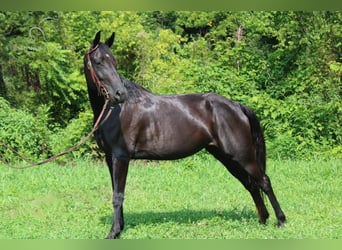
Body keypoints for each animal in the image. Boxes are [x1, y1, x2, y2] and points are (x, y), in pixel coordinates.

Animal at [84, 31, 284, 238]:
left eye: (115, 62)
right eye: (98, 62)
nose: (120, 94)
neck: (116, 111)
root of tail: (237, 106)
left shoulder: (121, 157)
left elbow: (118, 195)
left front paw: (113, 232)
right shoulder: (110, 158)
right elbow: (116, 191)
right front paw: (119, 228)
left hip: (243, 156)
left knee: (264, 181)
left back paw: (280, 220)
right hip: (227, 157)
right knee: (251, 184)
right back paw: (263, 219)